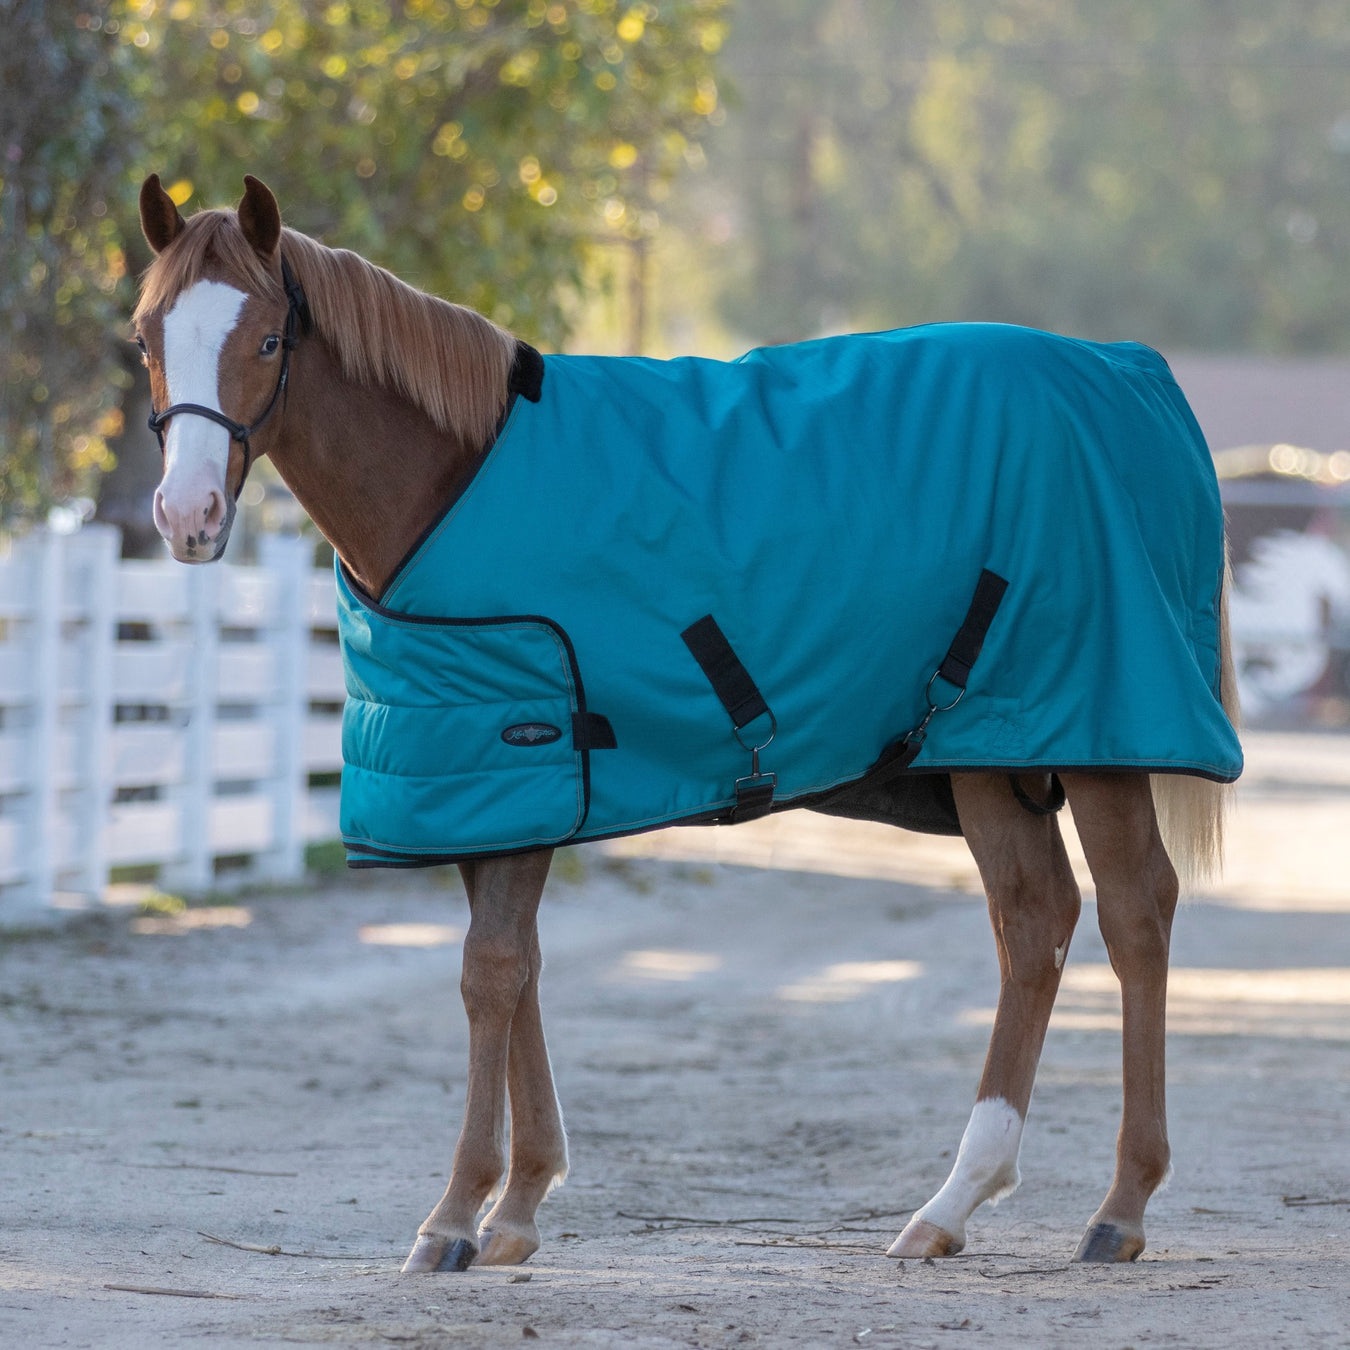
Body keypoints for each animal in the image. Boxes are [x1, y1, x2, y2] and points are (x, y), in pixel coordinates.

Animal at [131, 176, 1236, 1274]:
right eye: (146, 335)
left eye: (268, 339)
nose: (187, 516)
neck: (454, 482)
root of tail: (1135, 378)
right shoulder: (489, 788)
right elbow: (522, 971)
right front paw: (521, 1201)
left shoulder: (528, 750)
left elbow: (490, 976)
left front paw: (455, 1214)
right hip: (991, 752)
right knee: (1033, 921)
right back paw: (952, 1203)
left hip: (1097, 739)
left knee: (1136, 915)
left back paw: (1121, 1206)